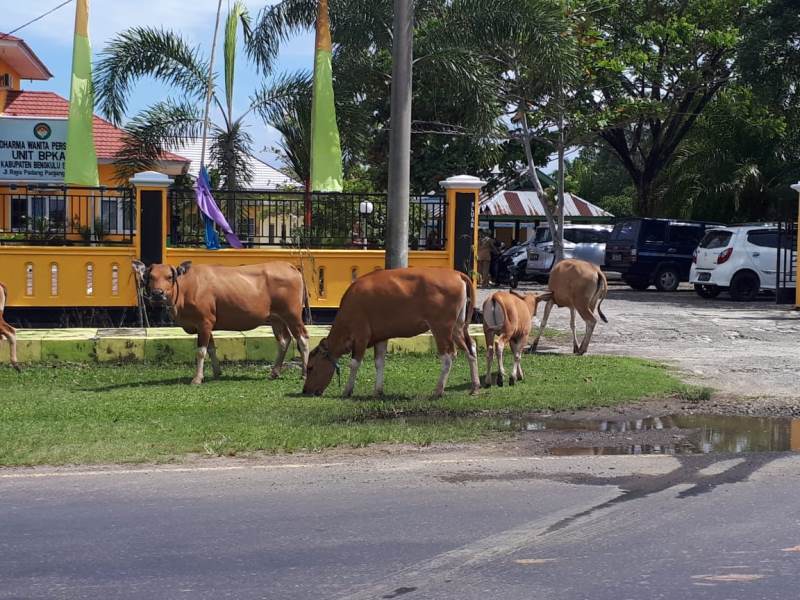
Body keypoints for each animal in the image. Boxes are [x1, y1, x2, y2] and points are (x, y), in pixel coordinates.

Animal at [131, 258, 310, 384]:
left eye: (169, 277)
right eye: (151, 277)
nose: (157, 294)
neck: (186, 288)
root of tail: (290, 266)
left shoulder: (204, 322)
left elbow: (201, 351)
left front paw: (197, 378)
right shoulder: (206, 324)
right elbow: (211, 349)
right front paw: (217, 372)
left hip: (292, 315)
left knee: (302, 339)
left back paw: (304, 373)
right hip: (276, 319)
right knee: (284, 341)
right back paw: (274, 372)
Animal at [298, 268, 476, 398]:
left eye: (311, 367)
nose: (305, 390)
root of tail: (456, 274)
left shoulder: (361, 335)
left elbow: (354, 363)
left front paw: (347, 390)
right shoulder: (381, 337)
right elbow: (379, 362)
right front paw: (378, 390)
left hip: (441, 327)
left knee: (448, 357)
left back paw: (438, 390)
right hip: (457, 327)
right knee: (471, 348)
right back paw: (475, 387)